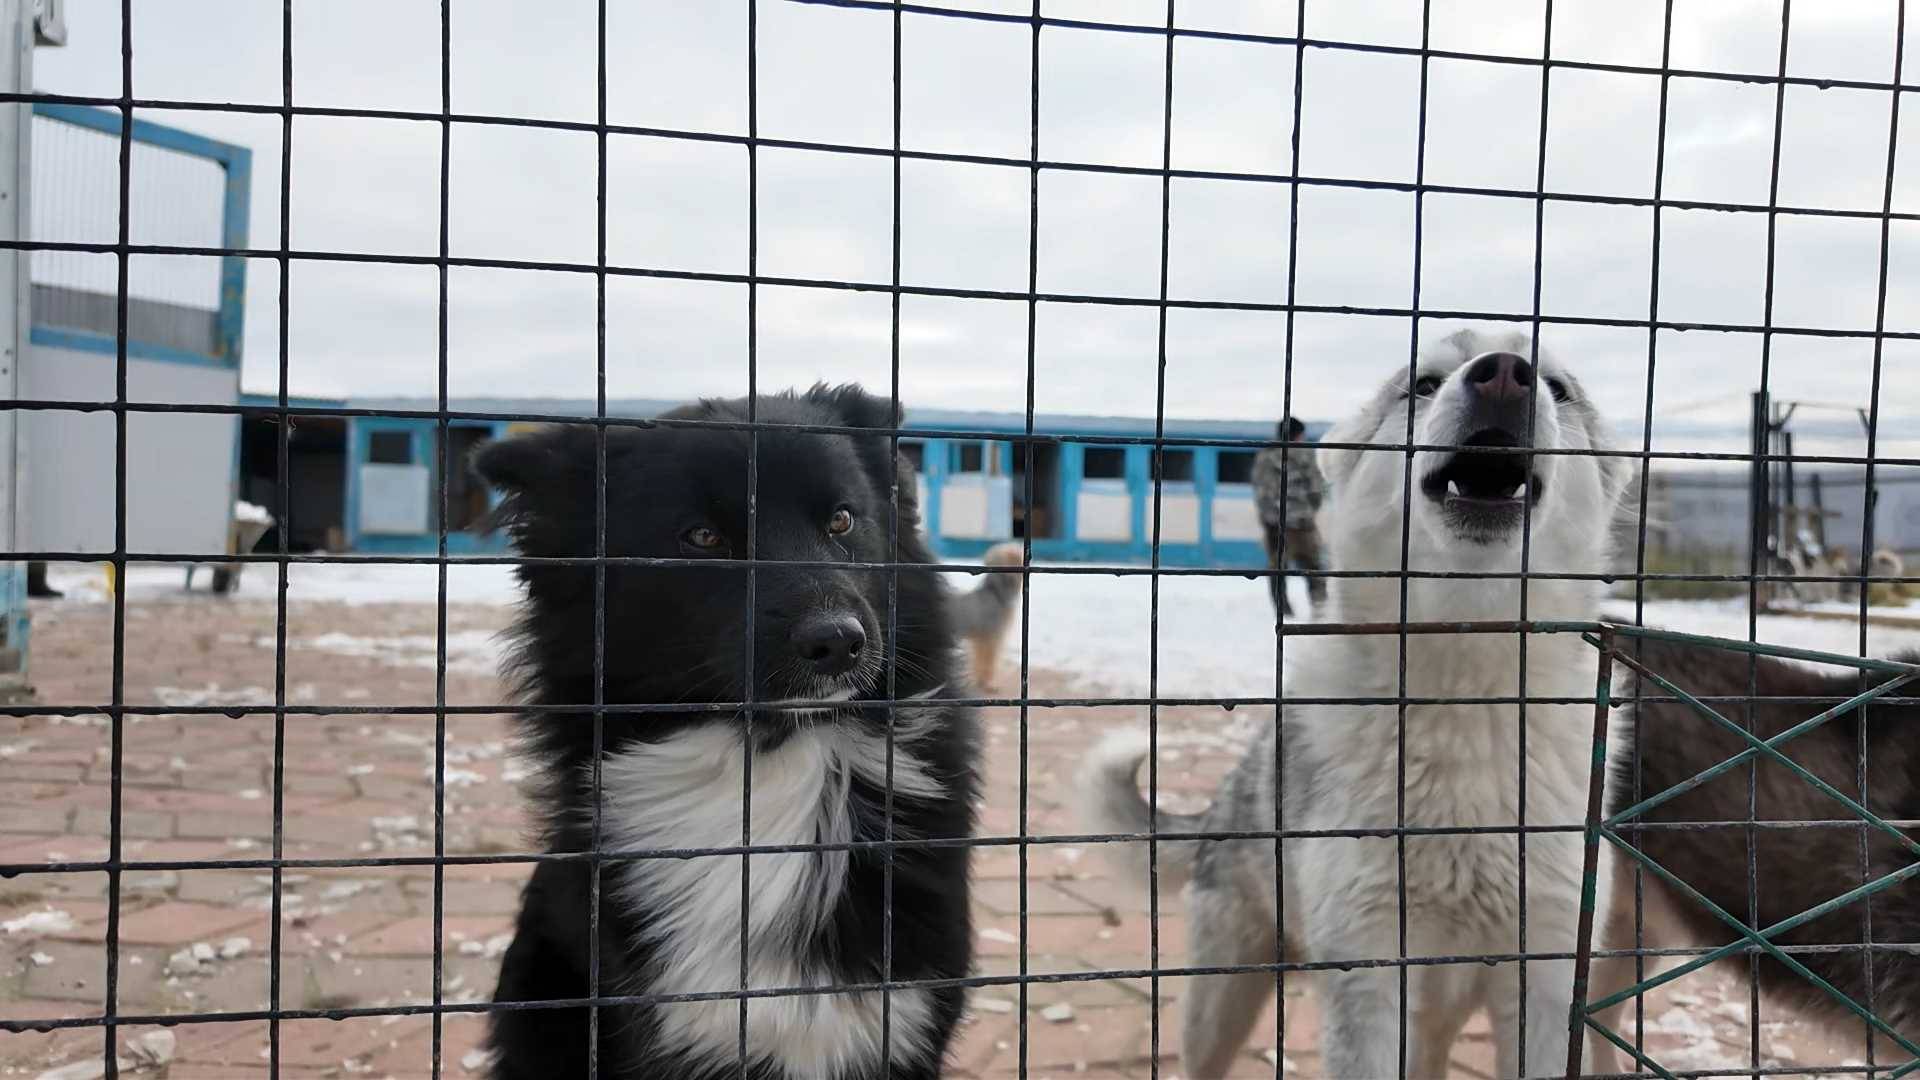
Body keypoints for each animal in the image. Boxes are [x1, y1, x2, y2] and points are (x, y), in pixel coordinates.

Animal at [1081, 328, 1631, 1078]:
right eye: (1423, 383)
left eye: (1558, 387)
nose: (1503, 376)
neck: (1462, 686)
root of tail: (1226, 797)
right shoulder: (1366, 973)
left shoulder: (1543, 979)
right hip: (1223, 998)